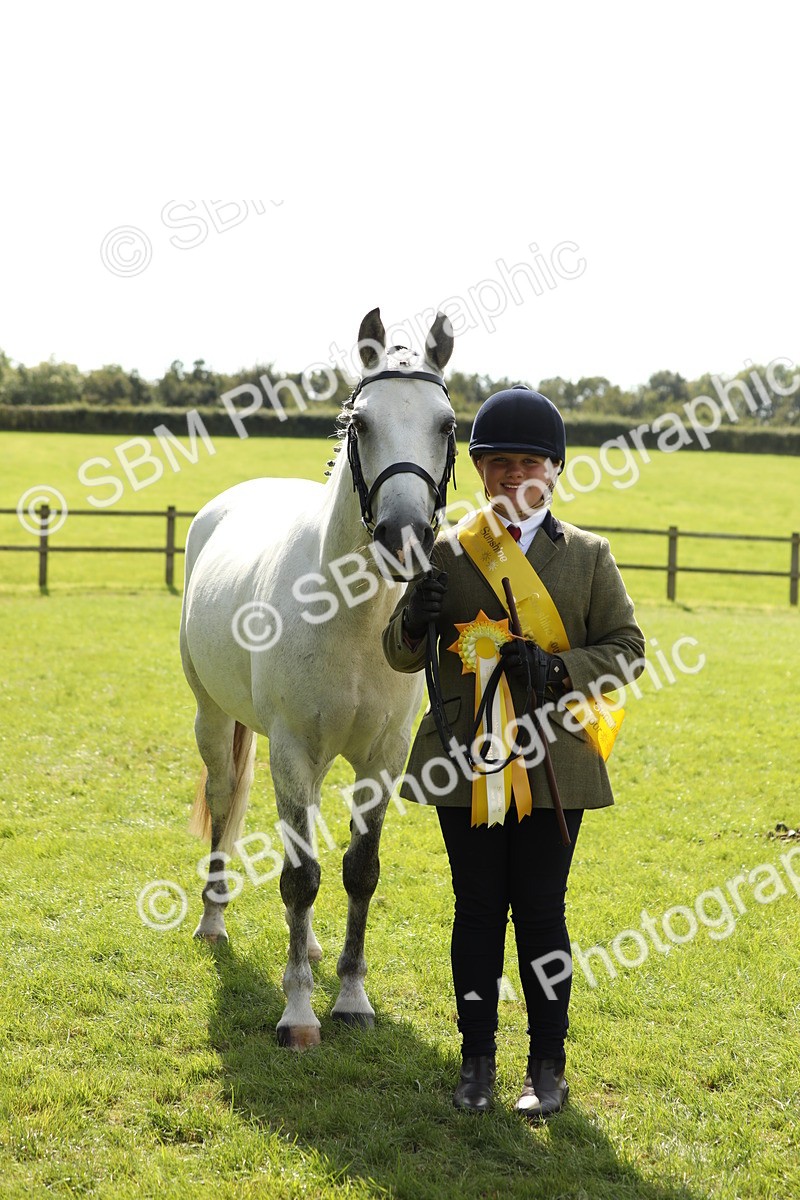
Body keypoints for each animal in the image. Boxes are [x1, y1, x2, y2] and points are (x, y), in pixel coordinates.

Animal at [179, 307, 456, 1049]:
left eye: (447, 424)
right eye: (361, 422)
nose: (404, 535)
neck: (352, 616)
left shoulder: (383, 757)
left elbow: (359, 871)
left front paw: (351, 998)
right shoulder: (291, 751)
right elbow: (300, 877)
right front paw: (299, 1016)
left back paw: (303, 946)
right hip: (215, 720)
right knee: (224, 803)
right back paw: (213, 922)